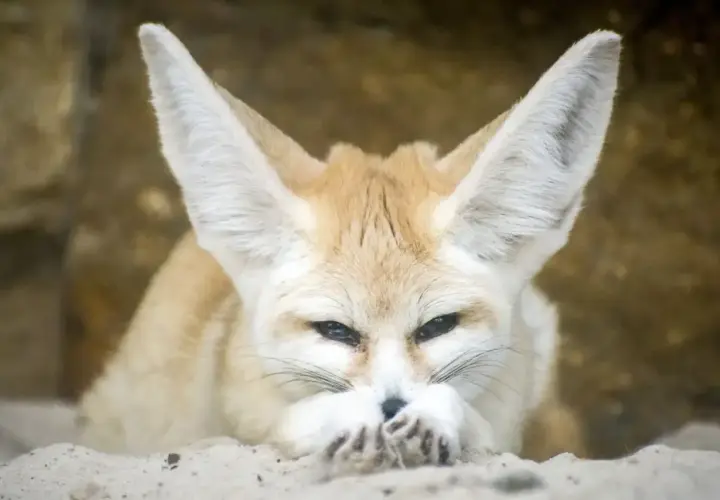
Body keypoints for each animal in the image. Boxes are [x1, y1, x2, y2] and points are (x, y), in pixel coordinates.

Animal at [76, 23, 621, 474]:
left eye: (437, 326)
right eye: (335, 330)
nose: (392, 408)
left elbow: (476, 421)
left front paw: (435, 419)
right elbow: (286, 423)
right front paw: (342, 418)